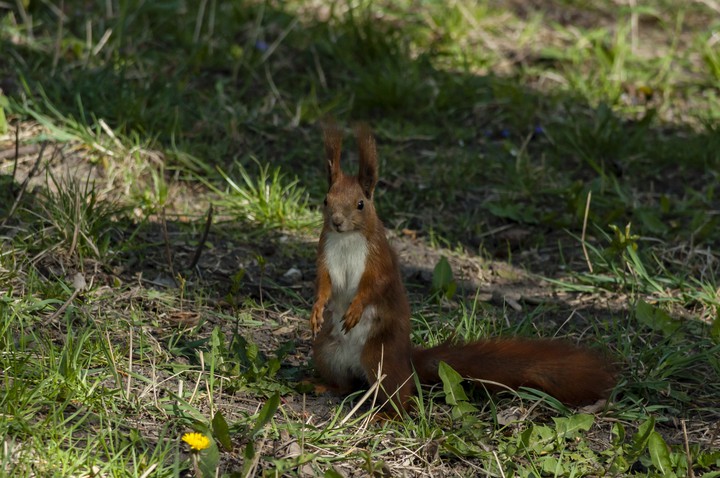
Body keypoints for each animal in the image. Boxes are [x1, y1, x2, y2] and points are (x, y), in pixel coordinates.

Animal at [310, 123, 616, 412]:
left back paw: (384, 414)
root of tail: (407, 359)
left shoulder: (378, 259)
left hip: (381, 357)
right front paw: (317, 310)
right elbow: (323, 281)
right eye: (325, 200)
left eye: (361, 204)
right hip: (326, 352)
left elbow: (375, 285)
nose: (336, 221)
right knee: (346, 384)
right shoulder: (325, 251)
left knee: (399, 395)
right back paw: (322, 386)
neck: (346, 238)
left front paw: (355, 309)